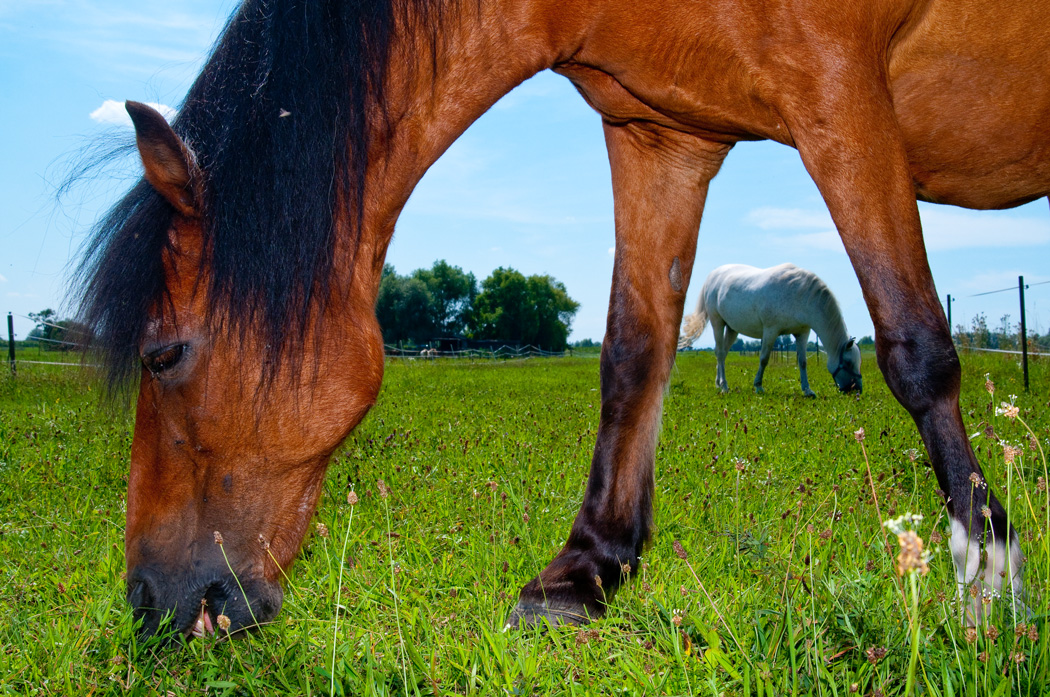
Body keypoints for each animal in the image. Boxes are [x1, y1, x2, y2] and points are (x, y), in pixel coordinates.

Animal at [680, 264, 860, 396]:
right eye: (848, 363)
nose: (857, 390)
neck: (799, 295)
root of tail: (713, 276)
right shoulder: (771, 331)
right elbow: (764, 359)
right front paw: (758, 386)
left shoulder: (802, 333)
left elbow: (802, 362)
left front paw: (807, 390)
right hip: (718, 323)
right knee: (719, 352)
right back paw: (724, 386)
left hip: (732, 329)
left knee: (722, 354)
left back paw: (719, 383)